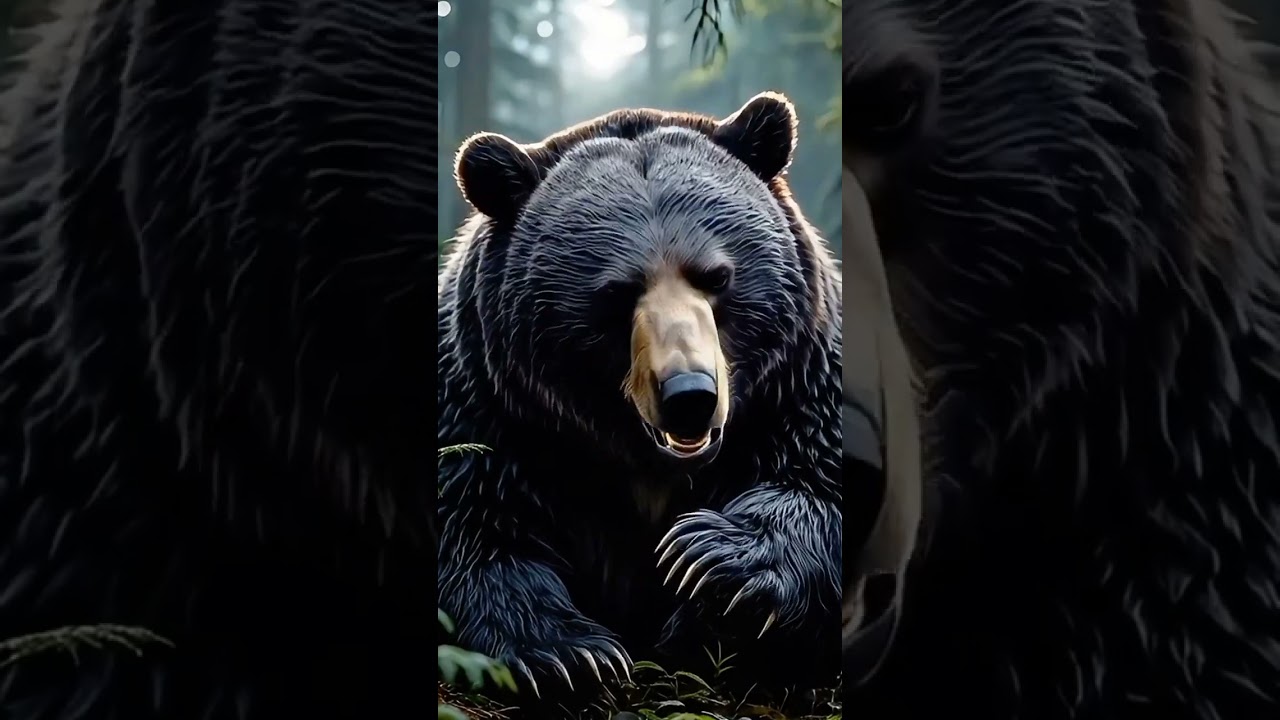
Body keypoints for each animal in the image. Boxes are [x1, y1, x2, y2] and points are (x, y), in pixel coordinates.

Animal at [436, 91, 844, 716]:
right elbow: (477, 524)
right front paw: (573, 654)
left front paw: (707, 563)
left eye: (716, 276)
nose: (690, 396)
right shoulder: (492, 407)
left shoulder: (800, 386)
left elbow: (817, 485)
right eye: (616, 291)